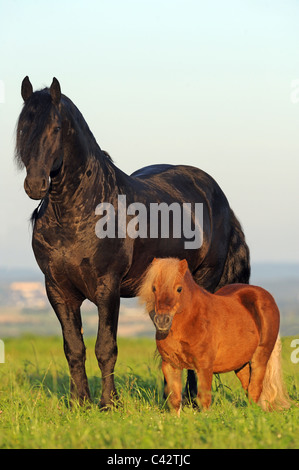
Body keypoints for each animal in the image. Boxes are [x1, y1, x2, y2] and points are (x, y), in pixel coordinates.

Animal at [15, 77, 251, 408]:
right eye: (23, 126)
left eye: (56, 128)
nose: (35, 185)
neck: (80, 211)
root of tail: (218, 196)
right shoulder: (58, 290)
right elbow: (74, 348)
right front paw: (79, 403)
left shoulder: (107, 287)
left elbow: (105, 347)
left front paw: (108, 404)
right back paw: (170, 398)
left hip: (204, 278)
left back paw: (193, 400)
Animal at [139, 258, 292, 414]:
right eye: (154, 288)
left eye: (179, 289)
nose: (162, 321)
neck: (192, 320)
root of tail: (265, 295)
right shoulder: (170, 364)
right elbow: (175, 399)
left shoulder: (204, 366)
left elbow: (204, 399)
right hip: (241, 363)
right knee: (248, 387)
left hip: (260, 357)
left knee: (255, 388)